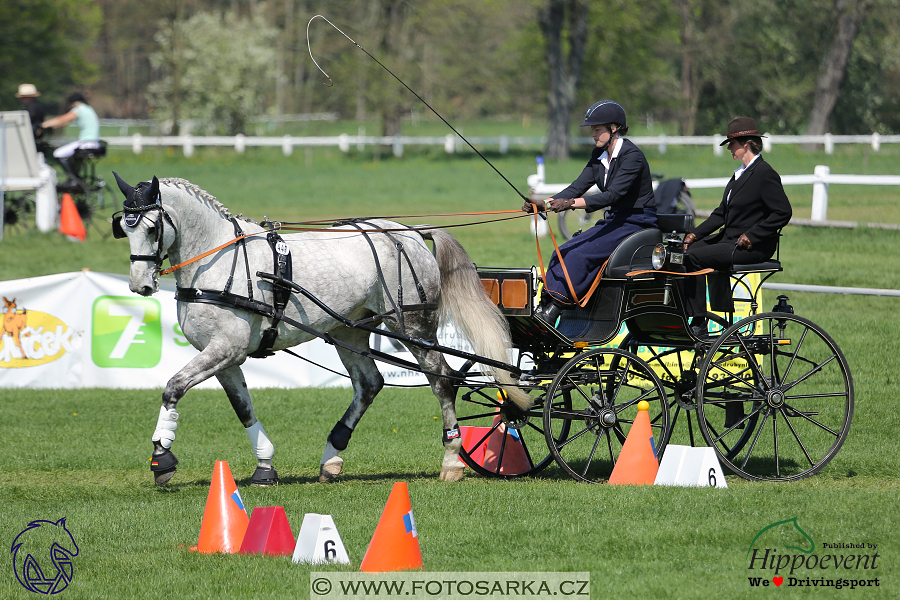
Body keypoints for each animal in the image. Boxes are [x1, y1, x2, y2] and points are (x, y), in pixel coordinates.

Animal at [114, 176, 528, 486]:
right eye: (124, 228)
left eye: (152, 228)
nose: (140, 285)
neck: (218, 258)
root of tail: (409, 232)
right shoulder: (225, 356)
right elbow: (243, 407)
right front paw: (264, 466)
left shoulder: (227, 348)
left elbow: (173, 387)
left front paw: (162, 455)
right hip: (350, 331)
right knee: (369, 384)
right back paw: (332, 456)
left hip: (412, 325)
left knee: (442, 380)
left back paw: (451, 460)